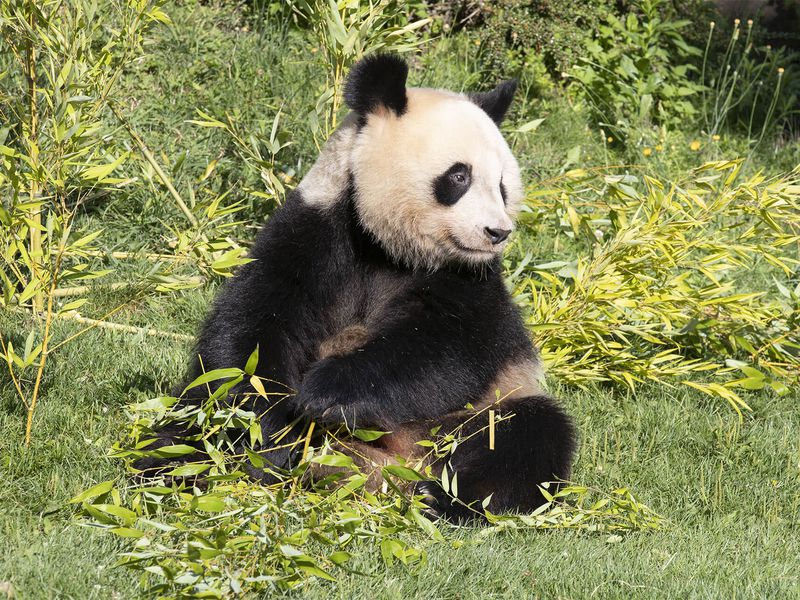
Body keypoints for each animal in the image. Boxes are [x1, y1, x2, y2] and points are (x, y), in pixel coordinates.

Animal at [142, 53, 576, 521]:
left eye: (502, 186)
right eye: (459, 176)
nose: (497, 233)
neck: (388, 246)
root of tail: (385, 469)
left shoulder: (471, 281)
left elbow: (447, 349)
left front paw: (326, 394)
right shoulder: (316, 230)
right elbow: (253, 328)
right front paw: (273, 432)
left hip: (468, 416)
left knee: (526, 432)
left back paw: (445, 499)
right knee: (187, 426)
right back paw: (167, 472)